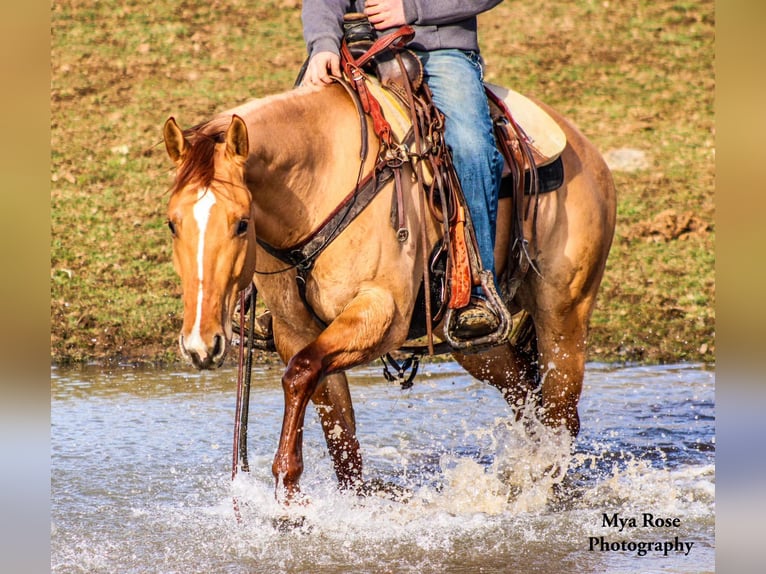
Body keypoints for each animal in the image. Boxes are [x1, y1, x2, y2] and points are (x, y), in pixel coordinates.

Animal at [162, 80, 616, 500]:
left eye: (241, 223)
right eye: (172, 222)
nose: (201, 344)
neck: (323, 183)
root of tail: (586, 152)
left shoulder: (381, 314)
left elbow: (300, 374)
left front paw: (286, 484)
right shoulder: (297, 331)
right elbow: (337, 430)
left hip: (563, 317)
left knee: (560, 417)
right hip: (479, 345)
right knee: (527, 398)